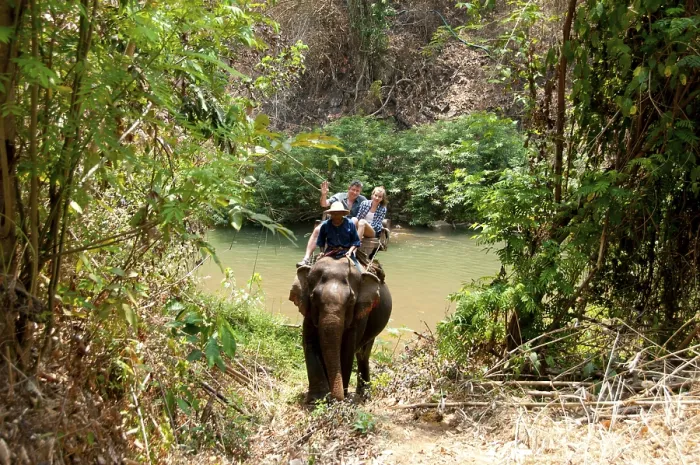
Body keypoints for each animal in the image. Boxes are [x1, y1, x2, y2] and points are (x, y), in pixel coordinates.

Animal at [289, 256, 392, 402]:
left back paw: (364, 395)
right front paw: (316, 399)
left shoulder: (359, 316)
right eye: (313, 297)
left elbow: (346, 349)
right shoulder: (307, 314)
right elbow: (310, 344)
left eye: (351, 300)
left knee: (363, 354)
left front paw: (340, 397)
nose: (335, 398)